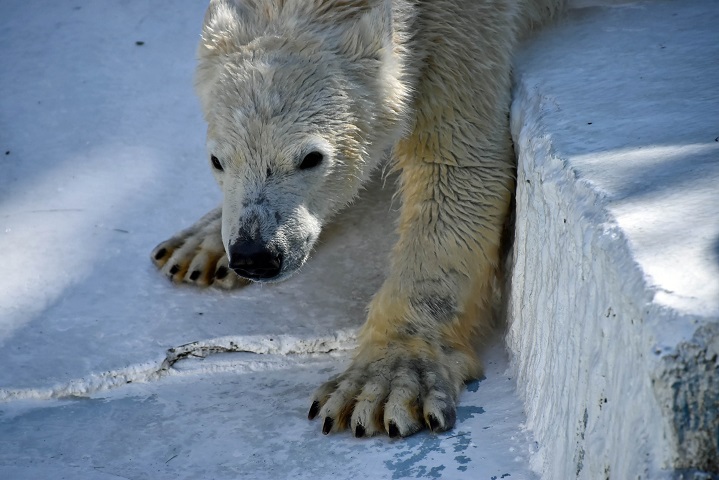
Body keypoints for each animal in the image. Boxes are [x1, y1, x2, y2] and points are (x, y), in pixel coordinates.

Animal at [153, 0, 568, 436]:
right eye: (217, 161)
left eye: (311, 158)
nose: (255, 255)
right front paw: (199, 245)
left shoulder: (461, 27)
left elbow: (457, 168)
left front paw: (383, 381)